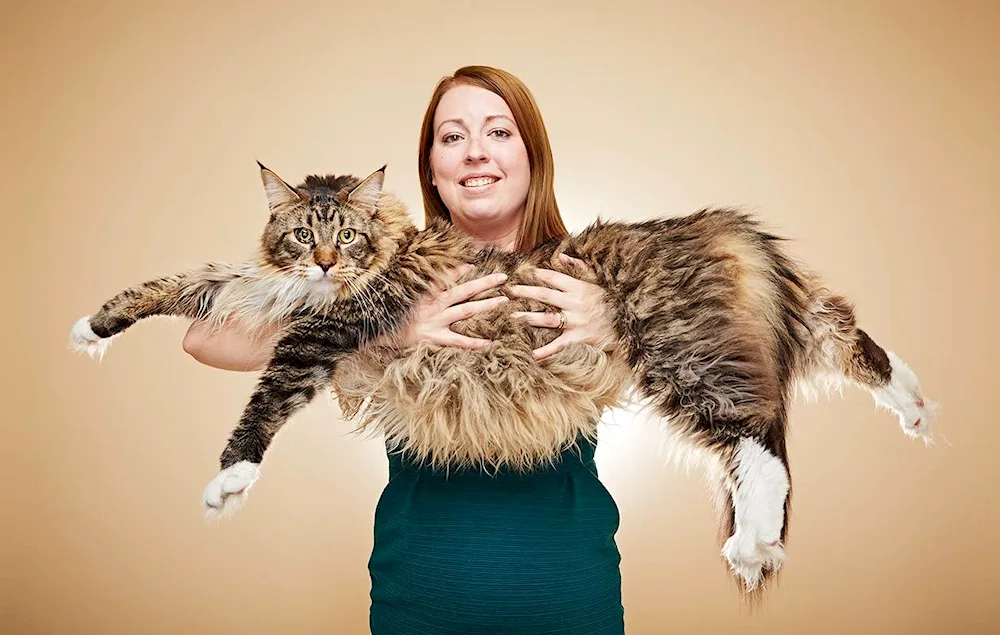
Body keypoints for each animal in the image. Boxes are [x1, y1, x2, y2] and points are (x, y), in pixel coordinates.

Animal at [70, 163, 936, 600]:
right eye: (302, 233)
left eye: (345, 234)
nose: (321, 262)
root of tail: (715, 226)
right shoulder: (249, 291)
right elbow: (173, 284)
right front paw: (91, 325)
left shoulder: (324, 333)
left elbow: (262, 404)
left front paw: (228, 482)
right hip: (760, 330)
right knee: (852, 340)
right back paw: (919, 407)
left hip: (682, 355)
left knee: (762, 450)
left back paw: (752, 541)